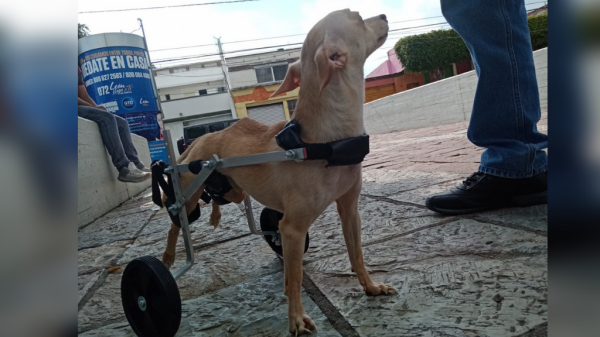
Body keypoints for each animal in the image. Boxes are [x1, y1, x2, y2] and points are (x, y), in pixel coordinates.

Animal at [162, 9, 392, 334]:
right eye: (357, 17)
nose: (384, 14)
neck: (325, 143)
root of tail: (199, 140)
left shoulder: (349, 209)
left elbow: (356, 254)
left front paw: (370, 286)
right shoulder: (293, 228)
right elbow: (293, 278)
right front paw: (295, 318)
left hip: (233, 190)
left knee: (217, 199)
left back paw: (216, 216)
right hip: (190, 194)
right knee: (176, 222)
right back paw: (168, 257)